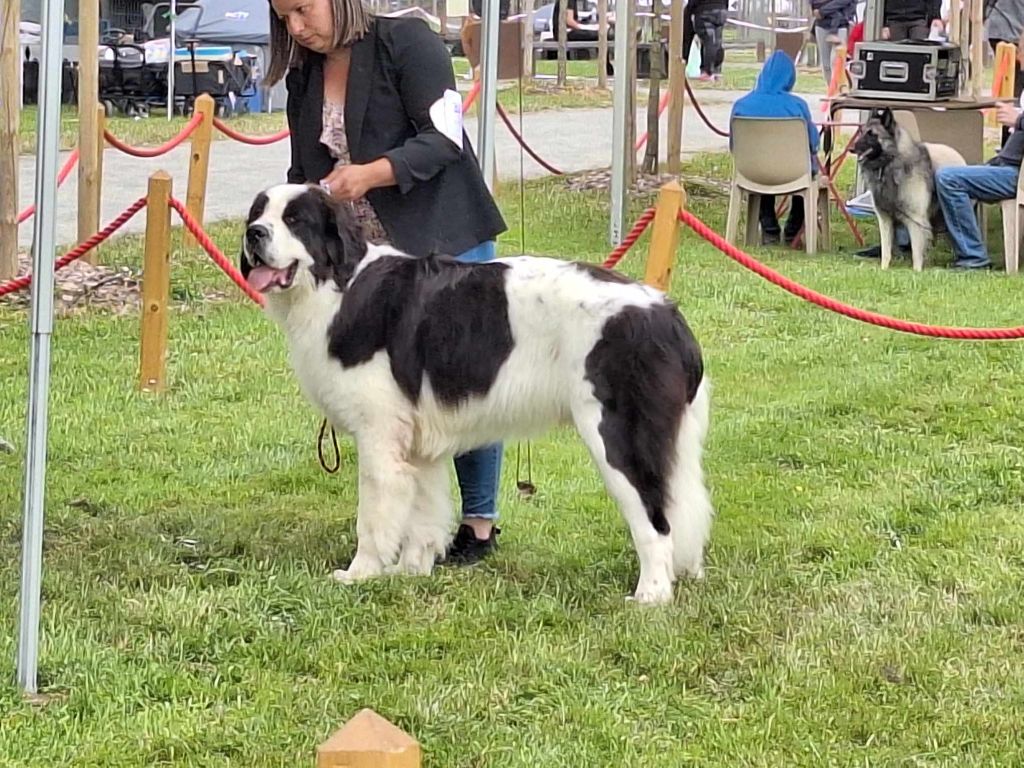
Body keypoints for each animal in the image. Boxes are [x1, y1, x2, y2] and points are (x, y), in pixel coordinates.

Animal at [239, 183, 712, 606]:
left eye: (295, 220)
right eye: (258, 214)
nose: (254, 234)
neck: (340, 284)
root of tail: (667, 315)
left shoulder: (379, 435)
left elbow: (373, 514)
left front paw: (360, 573)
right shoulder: (417, 441)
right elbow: (425, 509)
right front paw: (410, 570)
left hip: (616, 436)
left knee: (654, 519)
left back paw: (651, 595)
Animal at [851, 108, 962, 274]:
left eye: (872, 134)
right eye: (861, 132)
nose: (851, 149)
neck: (889, 164)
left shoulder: (915, 221)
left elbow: (916, 253)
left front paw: (917, 272)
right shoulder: (885, 220)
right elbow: (886, 251)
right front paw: (884, 269)